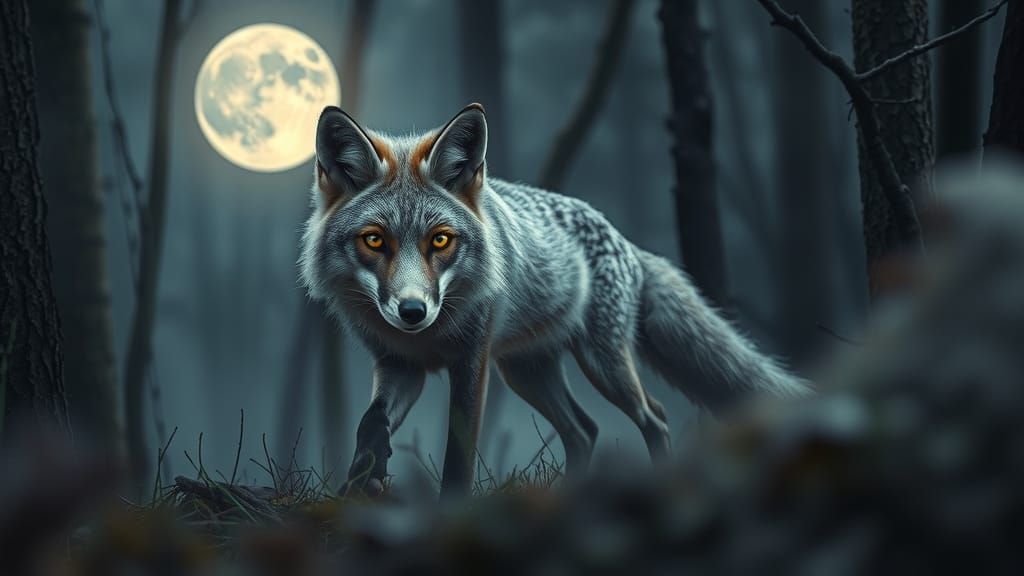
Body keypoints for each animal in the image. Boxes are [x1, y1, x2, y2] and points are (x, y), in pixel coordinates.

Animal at [300, 103, 809, 496]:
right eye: (374, 240)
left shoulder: (472, 363)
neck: (431, 338)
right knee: (584, 431)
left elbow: (458, 456)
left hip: (602, 366)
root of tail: (628, 244)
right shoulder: (400, 366)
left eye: (440, 241)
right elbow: (370, 421)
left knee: (655, 418)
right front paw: (360, 480)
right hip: (528, 372)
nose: (412, 312)